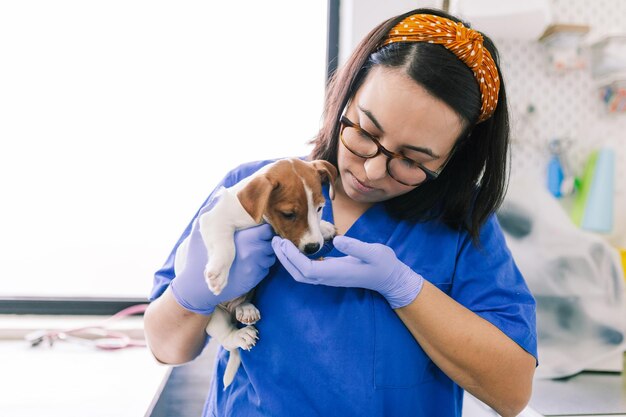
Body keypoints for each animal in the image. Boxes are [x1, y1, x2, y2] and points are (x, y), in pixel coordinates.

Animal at [173, 157, 336, 386]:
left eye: (320, 208)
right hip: (209, 315)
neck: (258, 218)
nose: (313, 247)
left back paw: (246, 309)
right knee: (227, 336)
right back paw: (239, 335)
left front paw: (325, 227)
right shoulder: (215, 220)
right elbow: (227, 246)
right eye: (289, 214)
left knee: (240, 305)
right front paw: (218, 271)